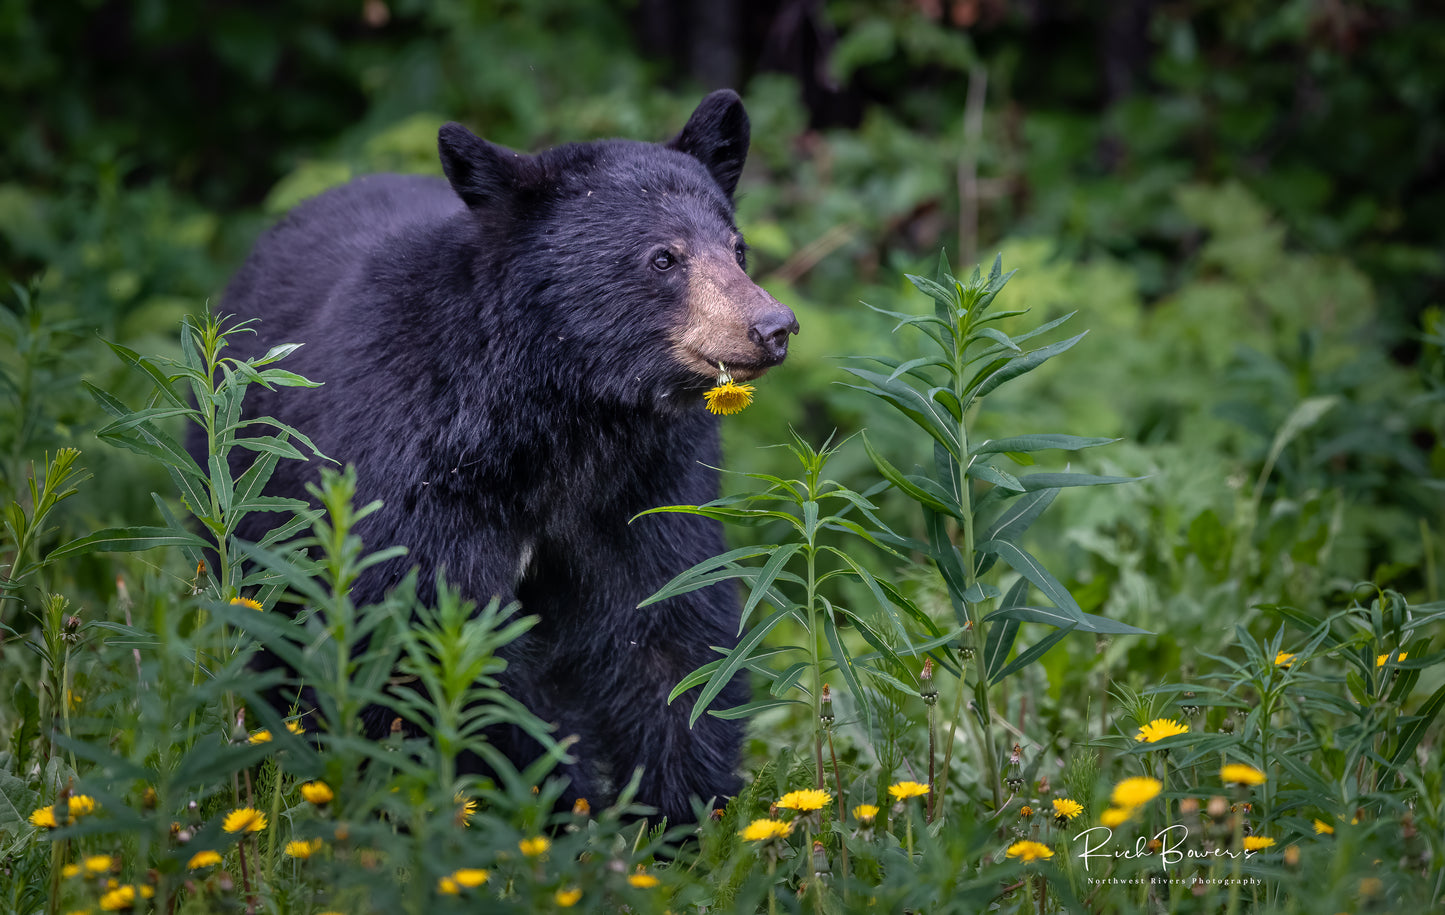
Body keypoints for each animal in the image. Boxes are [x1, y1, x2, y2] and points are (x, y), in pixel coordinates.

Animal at [209, 90, 798, 824]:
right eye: (664, 257)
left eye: (737, 247)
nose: (772, 326)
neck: (561, 419)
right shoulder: (417, 474)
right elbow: (447, 644)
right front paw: (553, 802)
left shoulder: (646, 481)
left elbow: (669, 621)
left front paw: (686, 813)